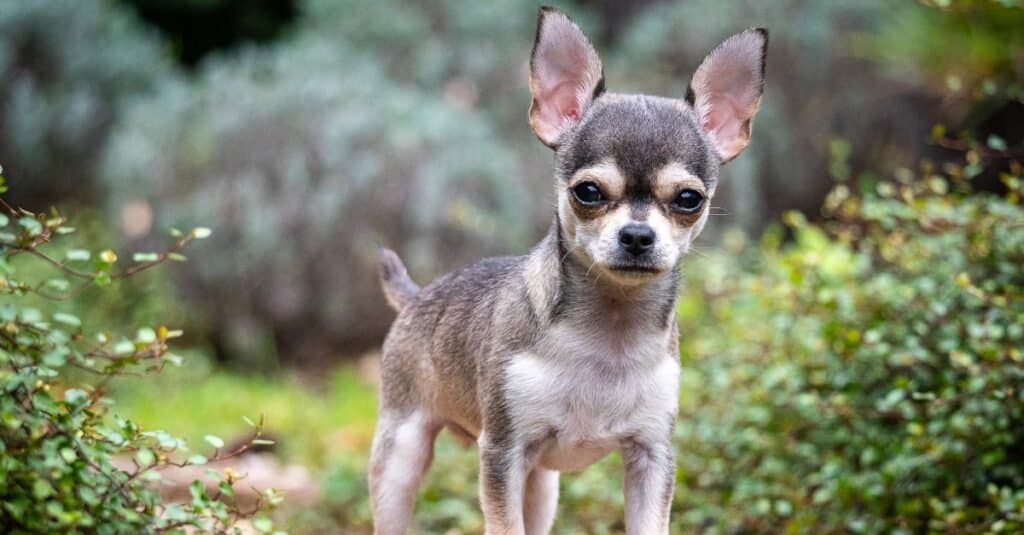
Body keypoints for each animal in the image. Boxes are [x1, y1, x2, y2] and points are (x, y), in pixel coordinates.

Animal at [372, 6, 765, 528]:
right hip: (401, 455)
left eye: (688, 199)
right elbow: (503, 526)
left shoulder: (652, 456)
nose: (637, 235)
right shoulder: (502, 453)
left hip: (542, 486)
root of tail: (417, 297)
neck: (610, 333)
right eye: (589, 192)